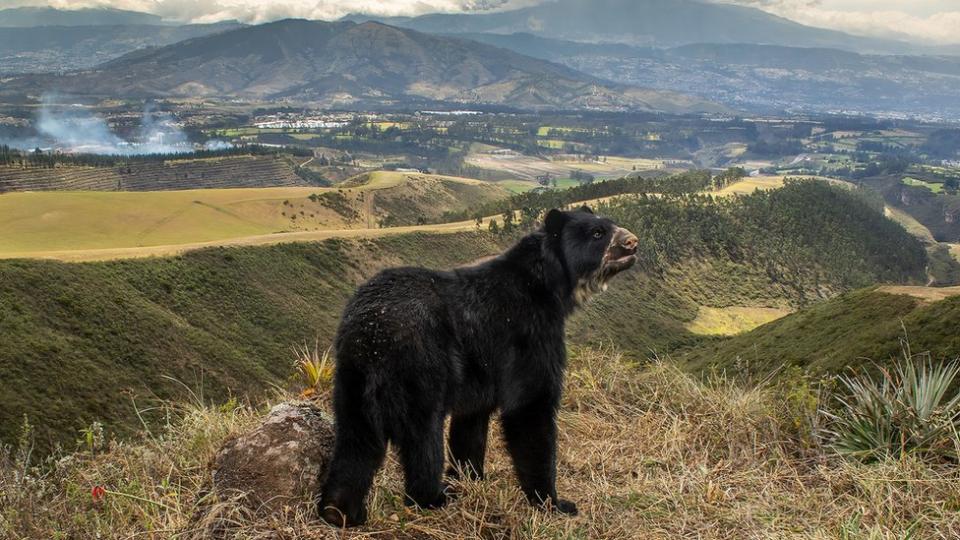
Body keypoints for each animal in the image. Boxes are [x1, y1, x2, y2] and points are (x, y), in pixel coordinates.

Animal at [318, 205, 640, 524]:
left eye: (609, 224)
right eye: (598, 233)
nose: (633, 242)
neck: (548, 284)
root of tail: (370, 333)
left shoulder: (482, 371)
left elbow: (471, 423)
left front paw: (470, 477)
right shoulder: (527, 334)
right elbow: (530, 406)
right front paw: (554, 503)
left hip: (352, 379)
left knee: (357, 443)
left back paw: (340, 510)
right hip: (420, 367)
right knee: (422, 439)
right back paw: (433, 497)